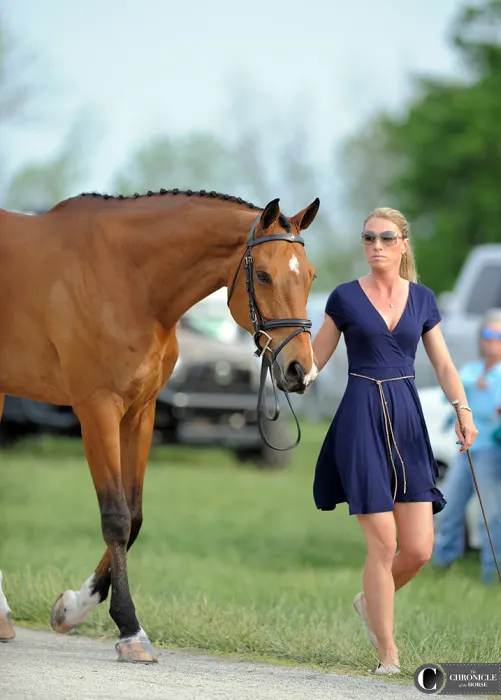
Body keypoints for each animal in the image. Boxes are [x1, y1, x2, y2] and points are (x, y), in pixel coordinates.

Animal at [0, 190, 318, 660]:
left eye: (311, 276)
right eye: (262, 274)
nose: (300, 370)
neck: (131, 281)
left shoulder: (140, 413)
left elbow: (134, 517)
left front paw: (72, 609)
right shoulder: (97, 410)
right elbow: (115, 516)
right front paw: (130, 630)